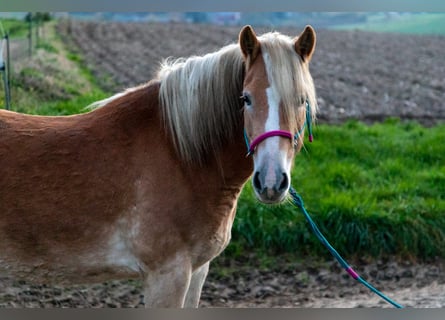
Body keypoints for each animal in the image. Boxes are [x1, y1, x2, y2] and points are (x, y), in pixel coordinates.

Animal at [1, 25, 318, 308]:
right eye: (245, 98)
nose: (271, 182)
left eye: (301, 100)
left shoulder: (196, 271)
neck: (181, 156)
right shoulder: (167, 276)